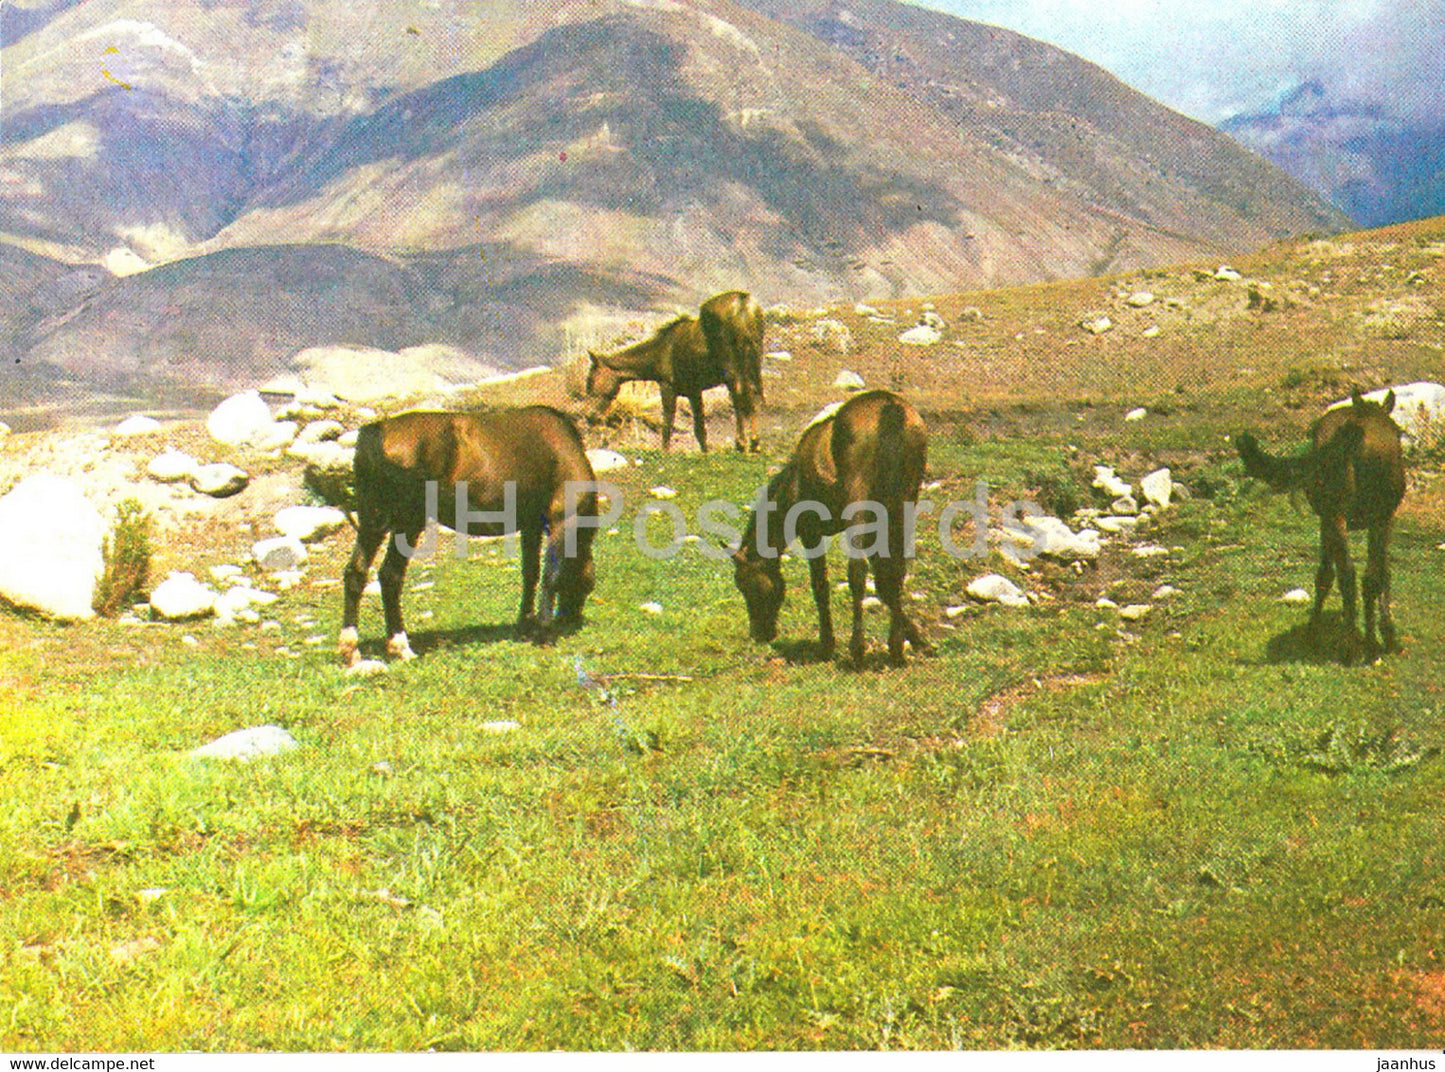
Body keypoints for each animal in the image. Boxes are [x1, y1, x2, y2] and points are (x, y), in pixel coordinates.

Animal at [338, 406, 599, 667]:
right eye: (587, 586)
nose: (572, 618)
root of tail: (378, 431)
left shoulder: (531, 525)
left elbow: (531, 573)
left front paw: (526, 623)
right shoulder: (562, 520)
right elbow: (550, 576)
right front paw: (544, 631)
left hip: (373, 520)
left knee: (356, 572)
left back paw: (351, 648)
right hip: (408, 521)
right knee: (390, 575)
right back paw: (401, 645)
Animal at [587, 290, 765, 452]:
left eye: (591, 379)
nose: (590, 417)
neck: (659, 351)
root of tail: (743, 302)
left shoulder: (668, 387)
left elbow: (668, 423)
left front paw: (665, 451)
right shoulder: (694, 392)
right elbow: (700, 429)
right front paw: (705, 452)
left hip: (732, 370)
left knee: (739, 398)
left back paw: (742, 442)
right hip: (754, 363)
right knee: (754, 396)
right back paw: (754, 442)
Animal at [732, 390, 932, 668]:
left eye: (745, 584)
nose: (760, 634)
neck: (795, 483)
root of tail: (890, 408)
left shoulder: (811, 533)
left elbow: (820, 585)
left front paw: (826, 645)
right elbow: (886, 582)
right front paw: (917, 640)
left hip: (859, 503)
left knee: (857, 571)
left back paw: (857, 650)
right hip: (905, 500)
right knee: (896, 571)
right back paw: (895, 649)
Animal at [1236, 388, 1406, 662]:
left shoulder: (1343, 518)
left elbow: (1338, 574)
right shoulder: (1381, 516)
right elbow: (1377, 573)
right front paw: (1385, 635)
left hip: (1338, 514)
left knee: (1351, 574)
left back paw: (1353, 642)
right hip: (1353, 514)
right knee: (1358, 574)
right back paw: (1358, 644)